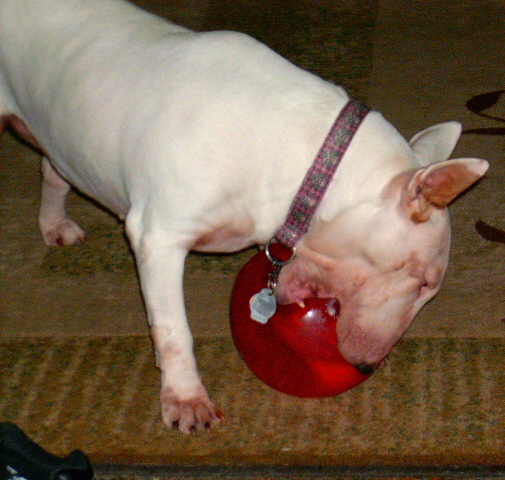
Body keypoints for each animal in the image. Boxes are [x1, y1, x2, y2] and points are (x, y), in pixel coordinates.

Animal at [0, 0, 488, 433]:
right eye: (422, 282)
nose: (367, 366)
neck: (301, 157)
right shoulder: (157, 237)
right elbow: (175, 327)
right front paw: (185, 399)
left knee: (53, 167)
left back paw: (54, 224)